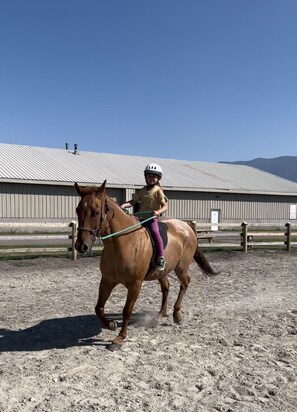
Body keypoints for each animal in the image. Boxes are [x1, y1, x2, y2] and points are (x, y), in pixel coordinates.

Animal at [74, 180, 217, 350]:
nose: (80, 246)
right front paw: (110, 324)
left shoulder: (135, 284)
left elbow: (127, 310)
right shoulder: (107, 280)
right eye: (78, 210)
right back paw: (160, 315)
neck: (124, 242)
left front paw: (119, 338)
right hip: (162, 271)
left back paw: (176, 314)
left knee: (185, 283)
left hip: (181, 267)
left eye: (96, 212)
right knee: (166, 287)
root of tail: (186, 225)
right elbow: (98, 308)